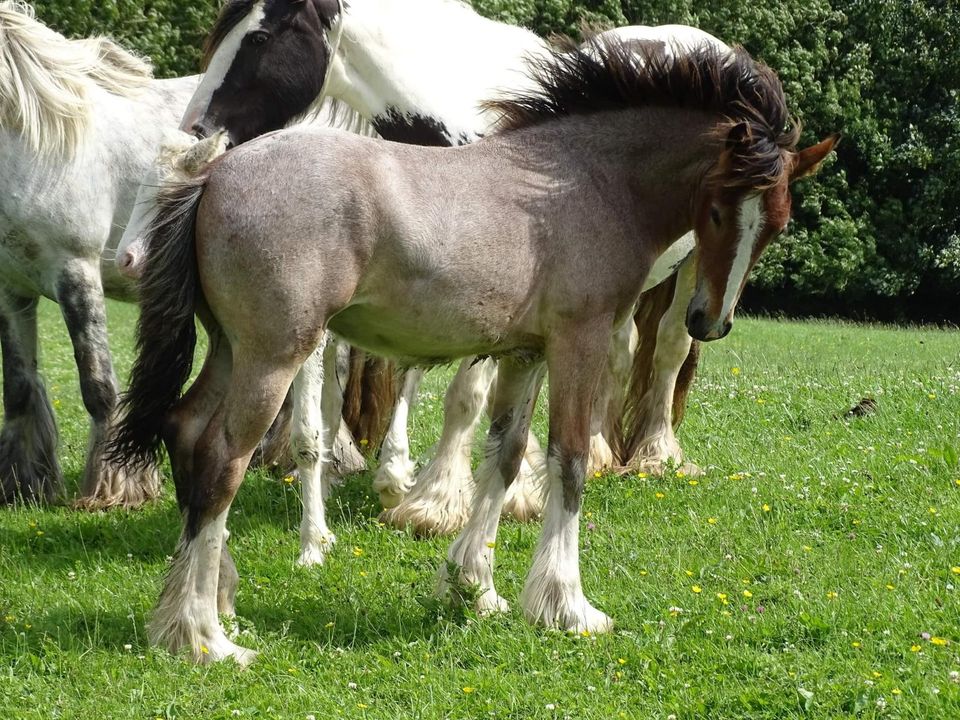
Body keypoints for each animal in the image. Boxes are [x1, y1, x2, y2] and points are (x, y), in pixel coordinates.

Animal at [110, 36, 832, 660]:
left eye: (777, 223)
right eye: (715, 211)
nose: (709, 320)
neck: (585, 182)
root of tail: (215, 174)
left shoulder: (526, 353)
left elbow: (506, 458)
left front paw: (474, 586)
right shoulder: (579, 342)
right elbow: (570, 461)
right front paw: (568, 606)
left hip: (231, 348)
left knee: (186, 430)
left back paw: (207, 603)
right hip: (274, 355)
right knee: (223, 458)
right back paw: (204, 637)